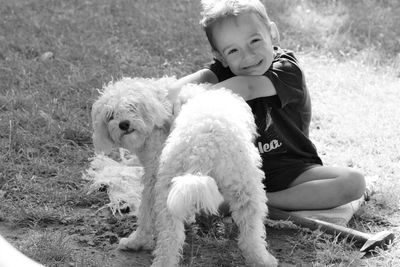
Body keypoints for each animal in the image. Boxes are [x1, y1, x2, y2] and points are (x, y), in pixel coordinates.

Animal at [92, 76, 276, 266]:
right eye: (110, 115)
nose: (123, 124)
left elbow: (145, 211)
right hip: (240, 187)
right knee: (250, 229)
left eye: (132, 107)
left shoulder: (153, 176)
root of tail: (204, 145)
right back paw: (262, 259)